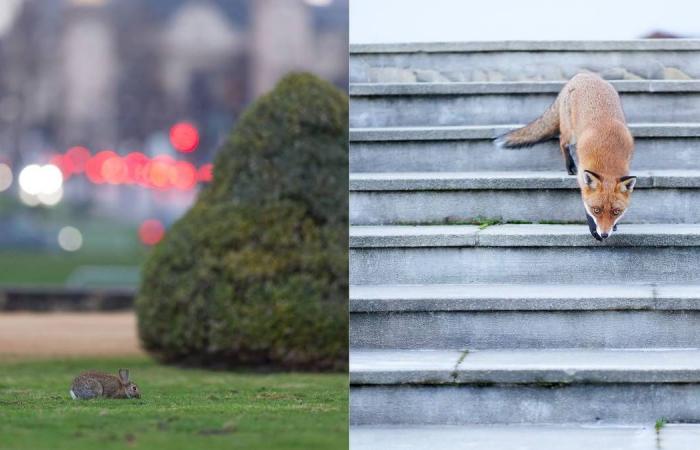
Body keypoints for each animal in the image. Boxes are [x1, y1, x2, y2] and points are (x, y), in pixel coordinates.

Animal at [494, 73, 636, 243]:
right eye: (596, 210)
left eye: (616, 211)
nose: (604, 234)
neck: (607, 153)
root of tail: (583, 74)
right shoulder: (583, 176)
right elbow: (585, 204)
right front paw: (593, 229)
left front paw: (614, 226)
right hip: (571, 134)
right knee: (562, 141)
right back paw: (569, 167)